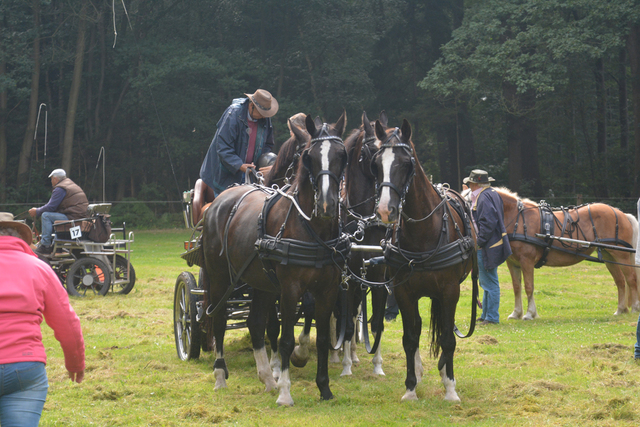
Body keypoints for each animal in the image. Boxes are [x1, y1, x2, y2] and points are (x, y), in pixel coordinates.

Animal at [202, 112, 348, 406]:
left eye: (342, 154)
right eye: (308, 157)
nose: (327, 204)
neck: (312, 228)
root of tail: (221, 199)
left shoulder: (327, 289)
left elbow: (322, 337)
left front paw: (324, 389)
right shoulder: (290, 290)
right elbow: (286, 339)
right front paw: (285, 392)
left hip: (263, 283)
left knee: (255, 322)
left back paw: (267, 378)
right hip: (220, 278)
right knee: (220, 320)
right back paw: (221, 375)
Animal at [370, 118, 476, 402]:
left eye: (406, 163)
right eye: (376, 164)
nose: (385, 210)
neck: (423, 232)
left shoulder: (449, 291)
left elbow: (448, 338)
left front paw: (450, 388)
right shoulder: (403, 292)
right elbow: (410, 338)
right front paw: (410, 388)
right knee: (416, 329)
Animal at [492, 188, 636, 320]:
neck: (518, 218)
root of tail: (621, 214)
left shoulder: (526, 260)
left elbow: (529, 286)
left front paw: (529, 314)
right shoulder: (513, 262)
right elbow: (516, 287)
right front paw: (516, 313)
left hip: (621, 254)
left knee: (631, 279)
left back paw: (635, 307)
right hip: (608, 256)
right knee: (620, 281)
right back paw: (620, 309)